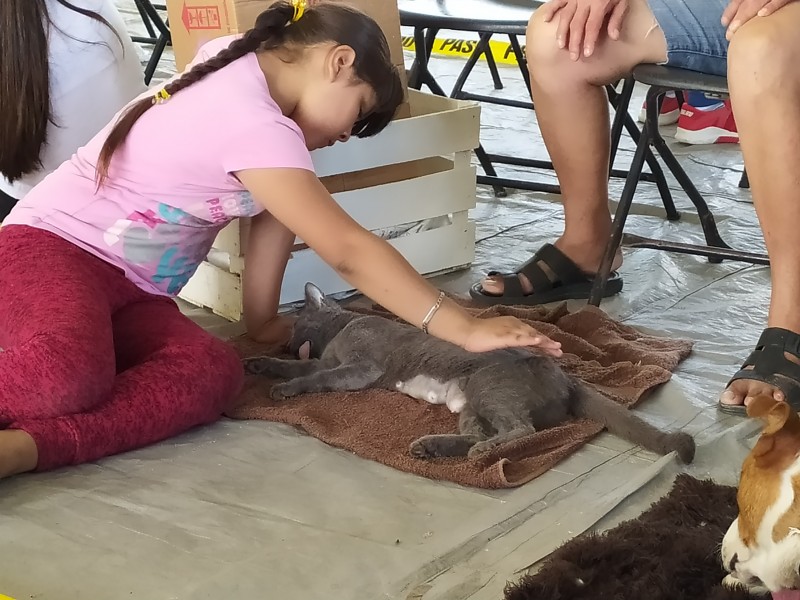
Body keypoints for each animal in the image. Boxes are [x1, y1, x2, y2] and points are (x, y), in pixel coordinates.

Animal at [244, 282, 692, 464]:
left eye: (297, 325)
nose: (285, 342)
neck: (342, 330)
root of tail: (566, 376)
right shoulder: (326, 361)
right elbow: (302, 368)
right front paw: (261, 365)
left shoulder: (360, 367)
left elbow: (315, 378)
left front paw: (284, 387)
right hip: (472, 402)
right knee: (483, 432)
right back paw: (431, 447)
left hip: (486, 384)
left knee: (522, 430)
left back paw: (480, 453)